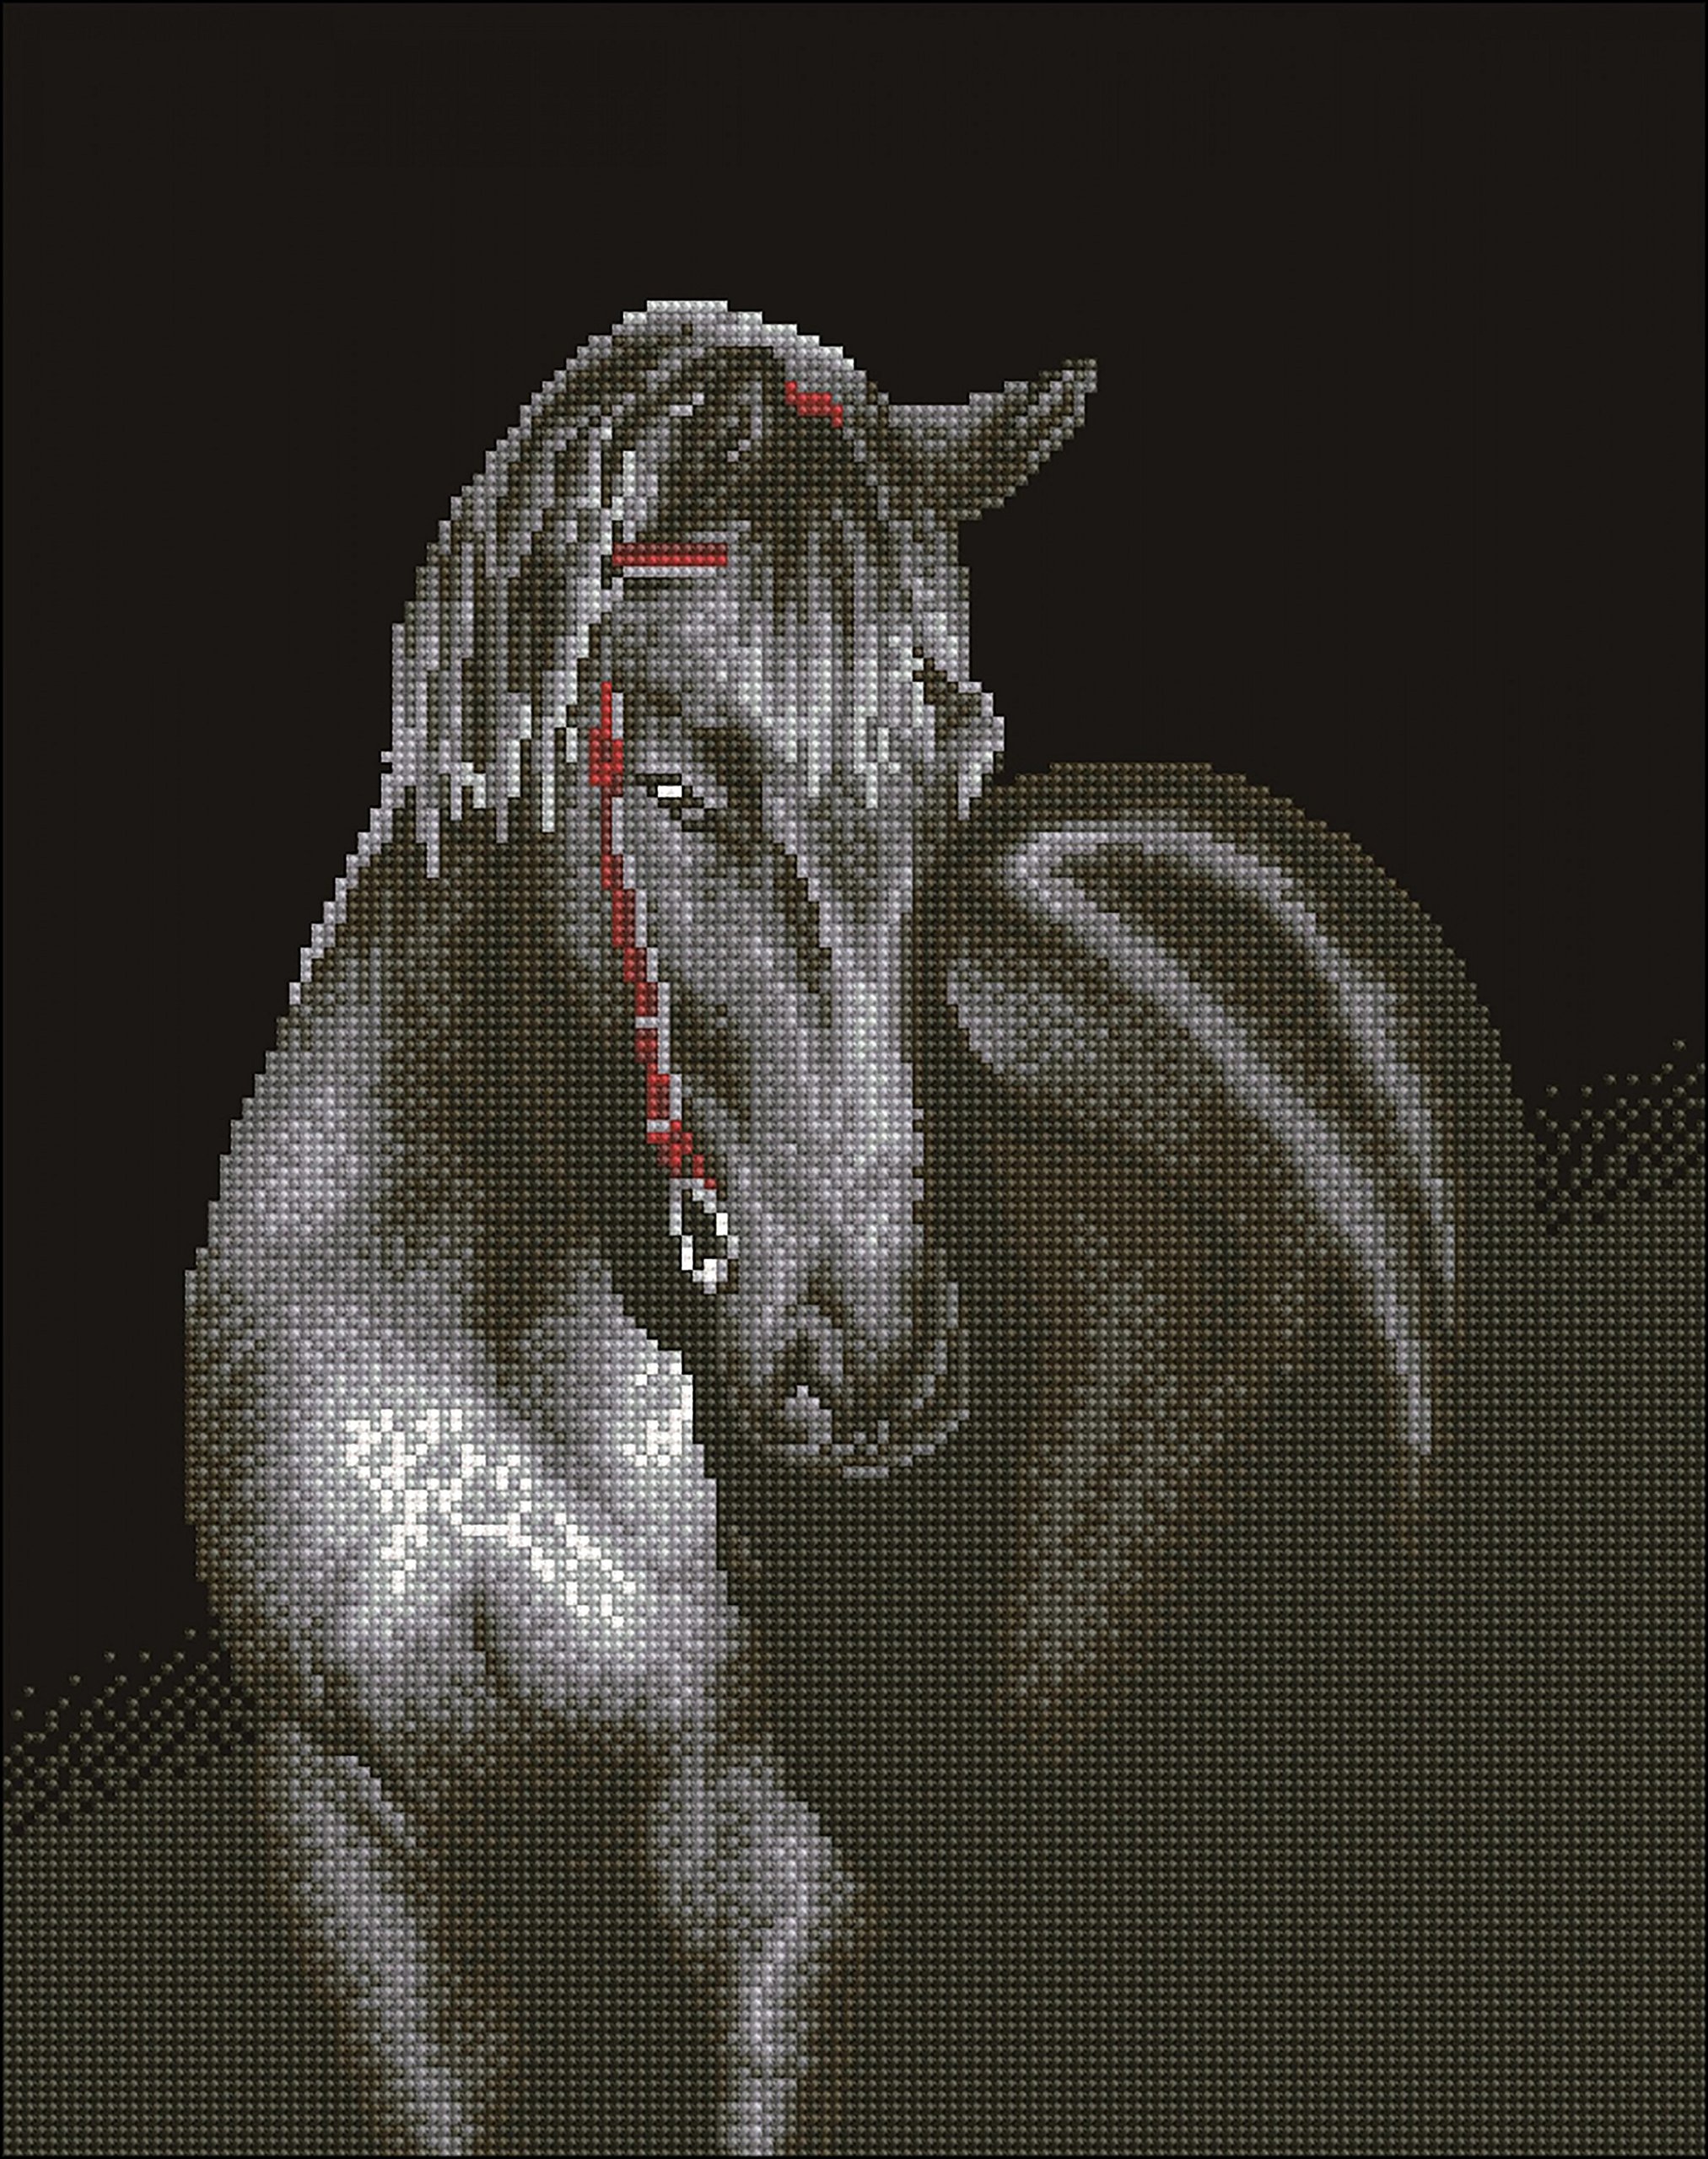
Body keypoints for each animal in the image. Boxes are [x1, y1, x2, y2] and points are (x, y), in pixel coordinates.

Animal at [185, 301, 1497, 2153]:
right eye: (673, 790)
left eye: (958, 753)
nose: (874, 1363)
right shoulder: (366, 1851)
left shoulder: (779, 1878)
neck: (486, 1348)